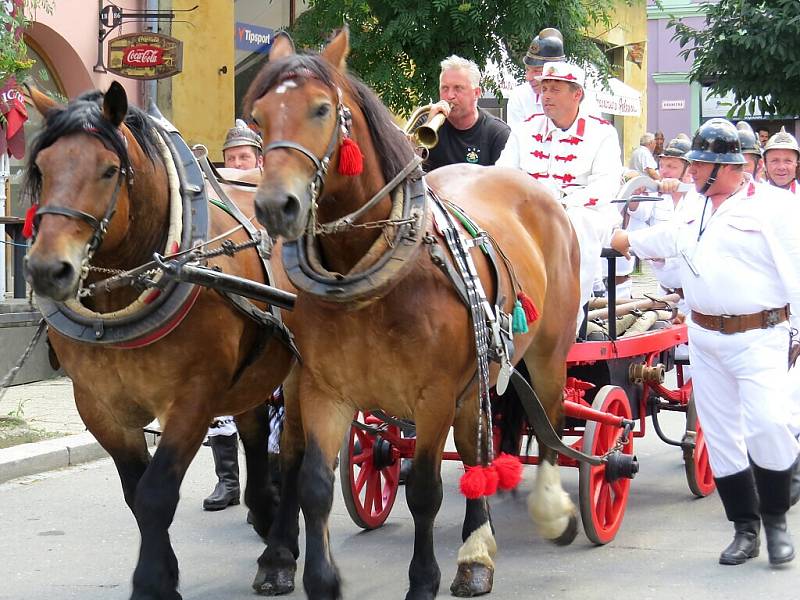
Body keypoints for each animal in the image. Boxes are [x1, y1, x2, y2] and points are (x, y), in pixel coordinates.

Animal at [23, 84, 296, 600]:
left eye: (108, 169)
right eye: (42, 168)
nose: (47, 270)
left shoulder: (194, 397)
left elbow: (155, 493)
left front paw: (152, 582)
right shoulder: (98, 405)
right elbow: (135, 492)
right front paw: (163, 574)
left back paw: (278, 554)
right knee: (255, 435)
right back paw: (264, 511)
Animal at [244, 31, 580, 600]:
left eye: (321, 109)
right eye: (259, 116)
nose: (273, 207)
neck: (365, 273)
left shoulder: (435, 393)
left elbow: (424, 490)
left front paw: (423, 580)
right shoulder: (323, 389)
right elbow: (314, 483)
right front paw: (320, 580)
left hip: (546, 355)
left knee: (550, 426)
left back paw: (546, 512)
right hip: (478, 378)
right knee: (476, 451)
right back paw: (475, 551)